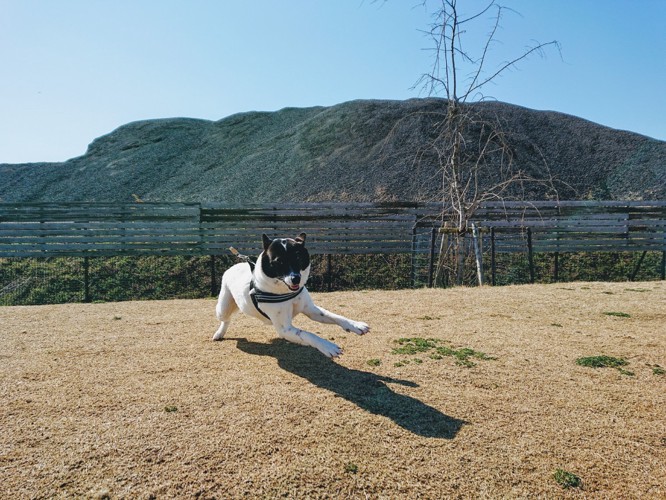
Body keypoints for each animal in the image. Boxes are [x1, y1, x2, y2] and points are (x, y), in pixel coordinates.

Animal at [213, 232, 368, 358]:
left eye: (298, 258)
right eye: (278, 261)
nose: (296, 279)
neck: (286, 291)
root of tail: (236, 266)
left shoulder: (311, 310)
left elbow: (334, 316)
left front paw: (355, 325)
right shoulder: (285, 329)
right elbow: (307, 334)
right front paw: (327, 346)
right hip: (223, 308)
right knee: (226, 320)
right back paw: (219, 333)